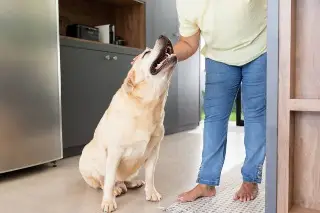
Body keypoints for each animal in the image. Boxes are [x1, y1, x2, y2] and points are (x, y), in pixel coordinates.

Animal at [78, 35, 178, 212]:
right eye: (146, 53)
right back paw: (116, 189)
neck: (147, 106)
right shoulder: (114, 152)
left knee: (124, 179)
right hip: (87, 158)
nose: (163, 36)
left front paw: (151, 192)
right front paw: (108, 202)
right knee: (103, 181)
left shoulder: (154, 151)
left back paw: (132, 183)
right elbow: (109, 180)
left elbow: (150, 175)